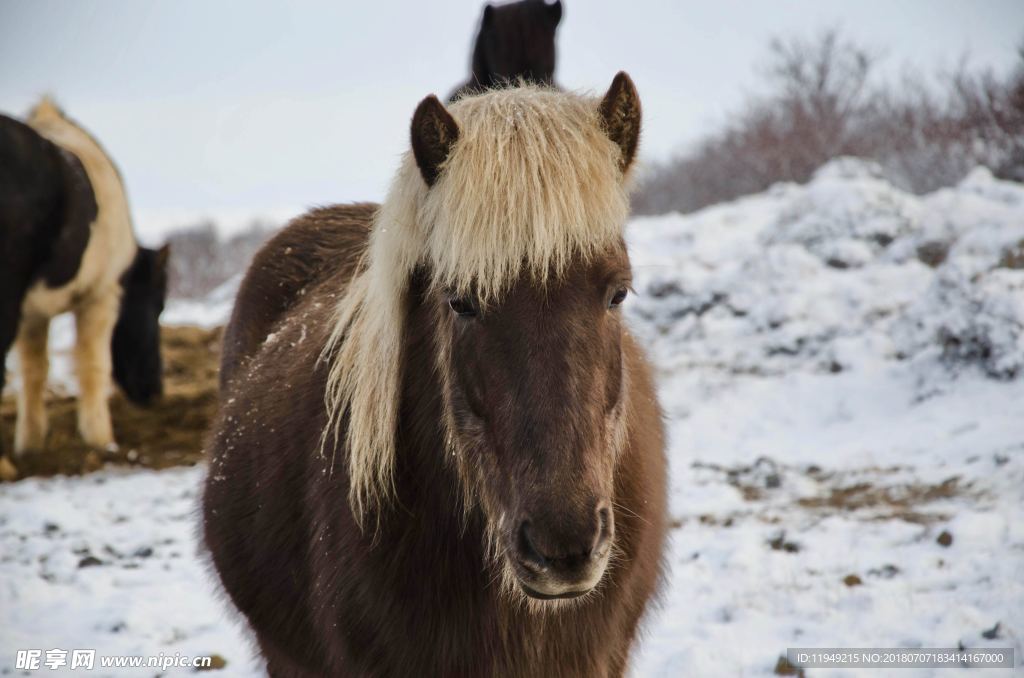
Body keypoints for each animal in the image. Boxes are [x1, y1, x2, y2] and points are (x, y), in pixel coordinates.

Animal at [1, 98, 167, 481]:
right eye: (159, 306)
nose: (155, 392)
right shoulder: (102, 294)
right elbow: (93, 365)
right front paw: (101, 440)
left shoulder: (33, 312)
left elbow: (33, 371)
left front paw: (30, 444)